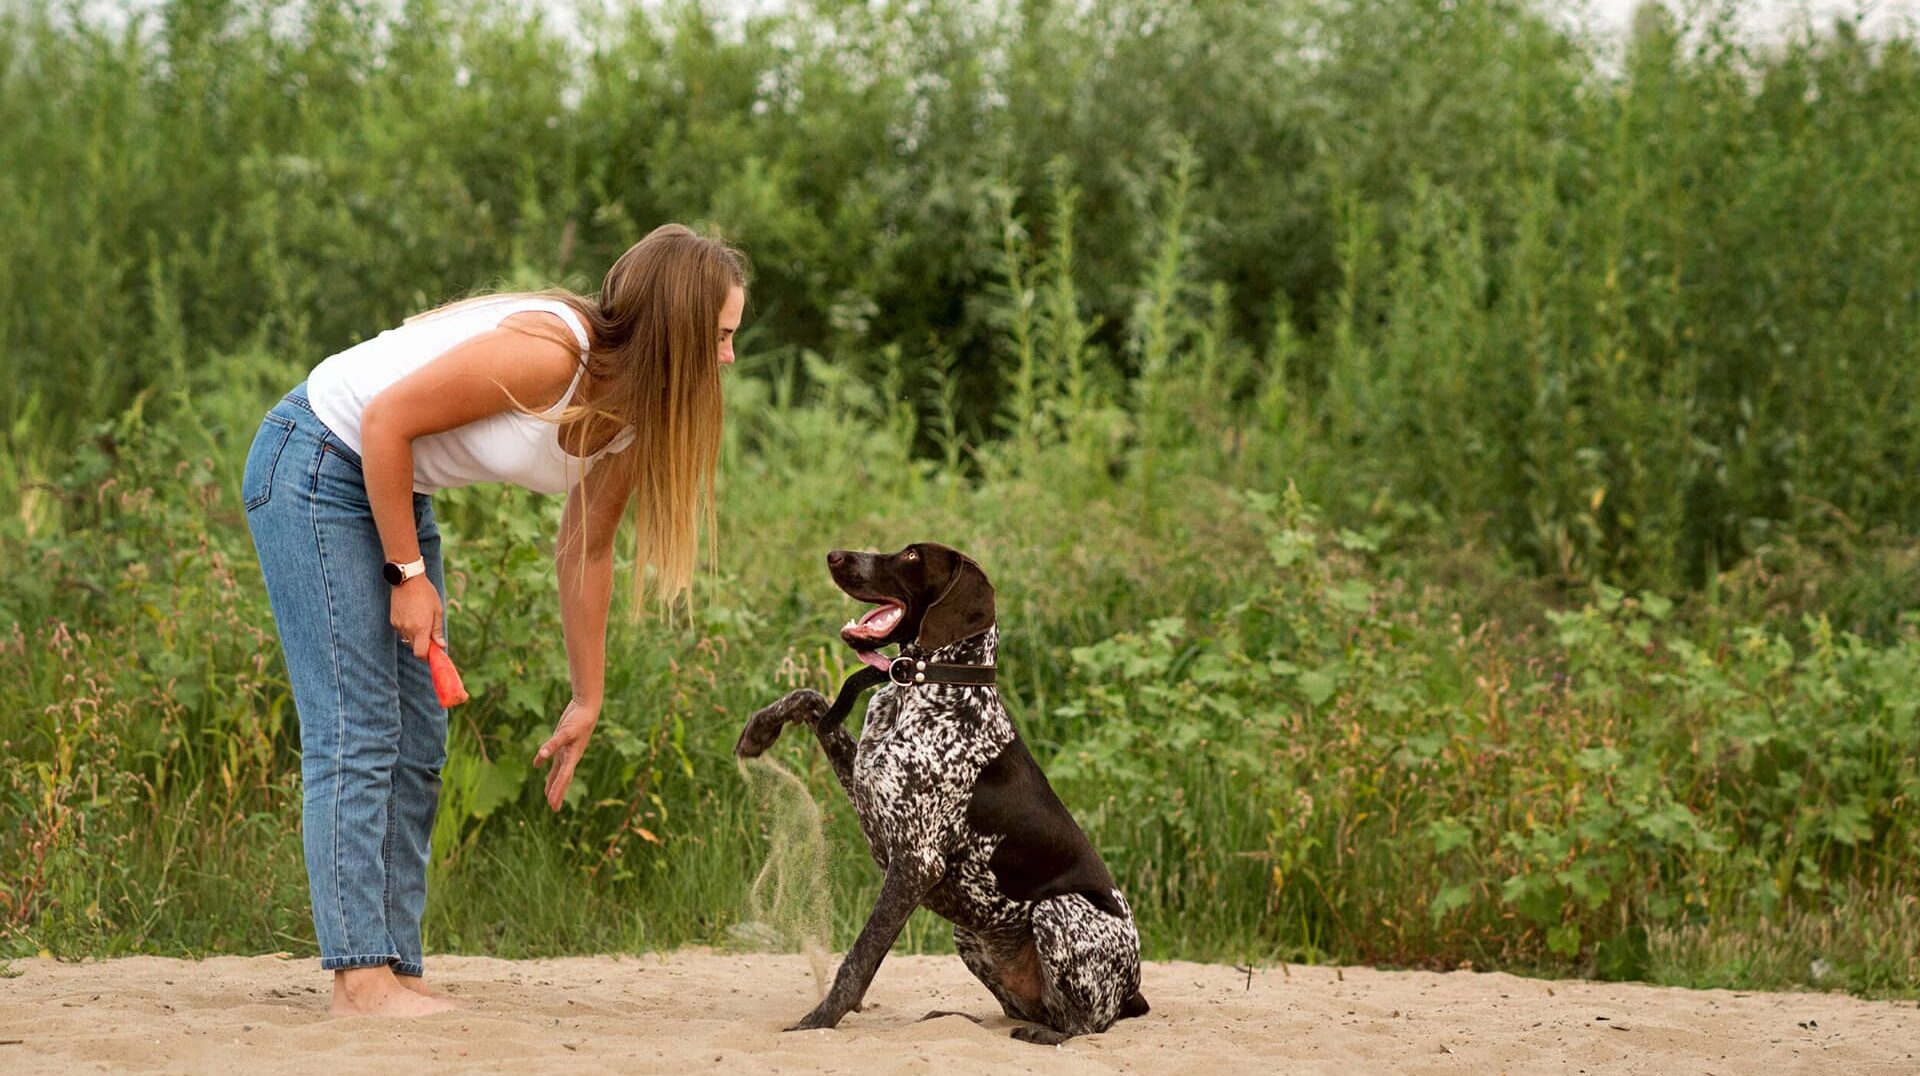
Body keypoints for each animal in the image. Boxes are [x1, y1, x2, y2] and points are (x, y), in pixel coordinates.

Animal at [733, 541, 1136, 1045]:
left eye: (910, 556)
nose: (835, 555)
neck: (931, 688)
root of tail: (1134, 991)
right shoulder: (868, 790)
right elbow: (811, 699)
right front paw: (760, 730)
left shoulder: (914, 863)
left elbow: (860, 957)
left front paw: (819, 1020)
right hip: (970, 937)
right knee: (1035, 1011)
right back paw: (952, 1019)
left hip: (1057, 911)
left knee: (1083, 1024)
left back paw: (1044, 1036)